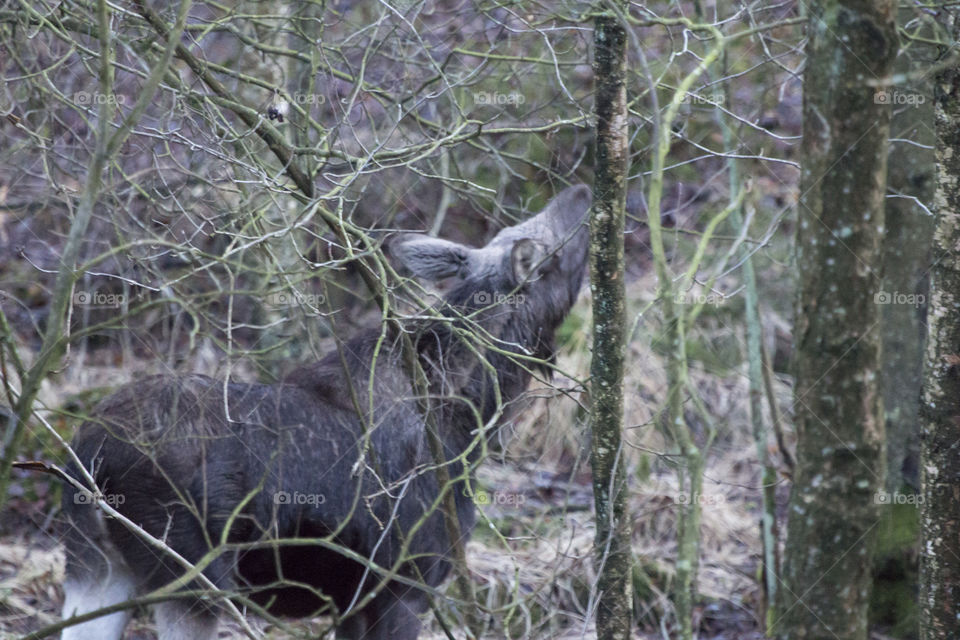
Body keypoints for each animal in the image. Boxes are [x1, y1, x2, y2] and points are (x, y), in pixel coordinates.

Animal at [59, 184, 591, 640]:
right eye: (556, 252)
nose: (581, 193)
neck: (471, 420)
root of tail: (91, 454)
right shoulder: (405, 586)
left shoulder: (351, 601)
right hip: (193, 579)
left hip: (96, 566)